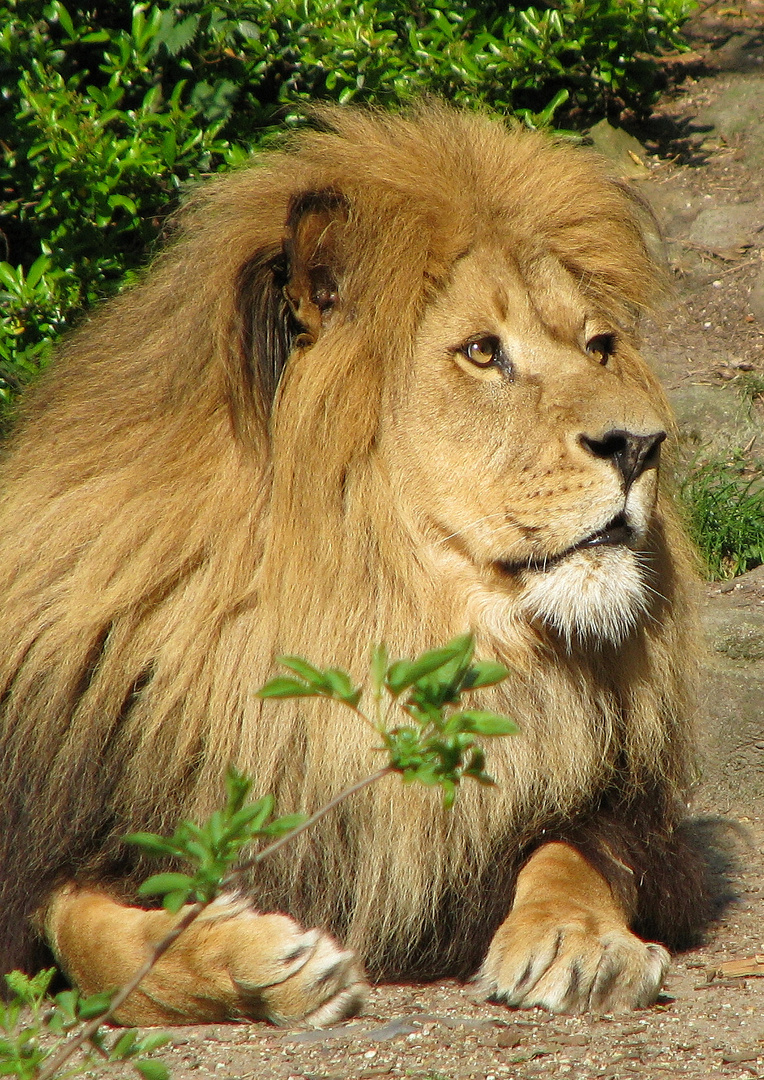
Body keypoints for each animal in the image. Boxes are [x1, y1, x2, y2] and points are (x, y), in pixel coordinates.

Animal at [0, 105, 713, 1023]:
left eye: (599, 347)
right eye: (482, 353)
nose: (642, 443)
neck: (381, 610)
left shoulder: (631, 818)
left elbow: (572, 851)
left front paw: (579, 942)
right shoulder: (55, 832)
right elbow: (89, 935)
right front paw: (257, 963)